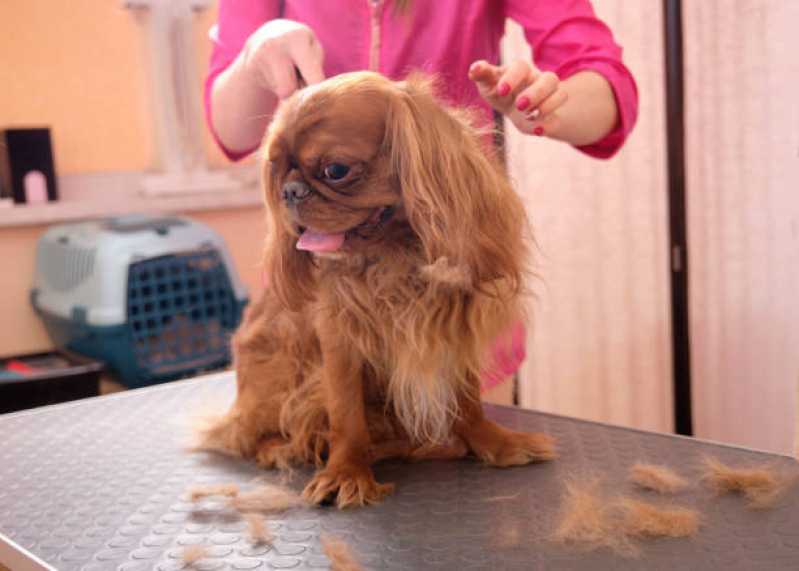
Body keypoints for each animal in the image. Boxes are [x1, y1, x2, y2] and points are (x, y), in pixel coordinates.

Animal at [202, 72, 556, 510]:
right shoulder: (340, 344)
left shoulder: (452, 334)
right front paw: (346, 473)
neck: (393, 255)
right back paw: (287, 448)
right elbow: (346, 414)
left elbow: (468, 403)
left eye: (335, 170)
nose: (290, 191)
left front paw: (493, 442)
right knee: (250, 433)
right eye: (277, 169)